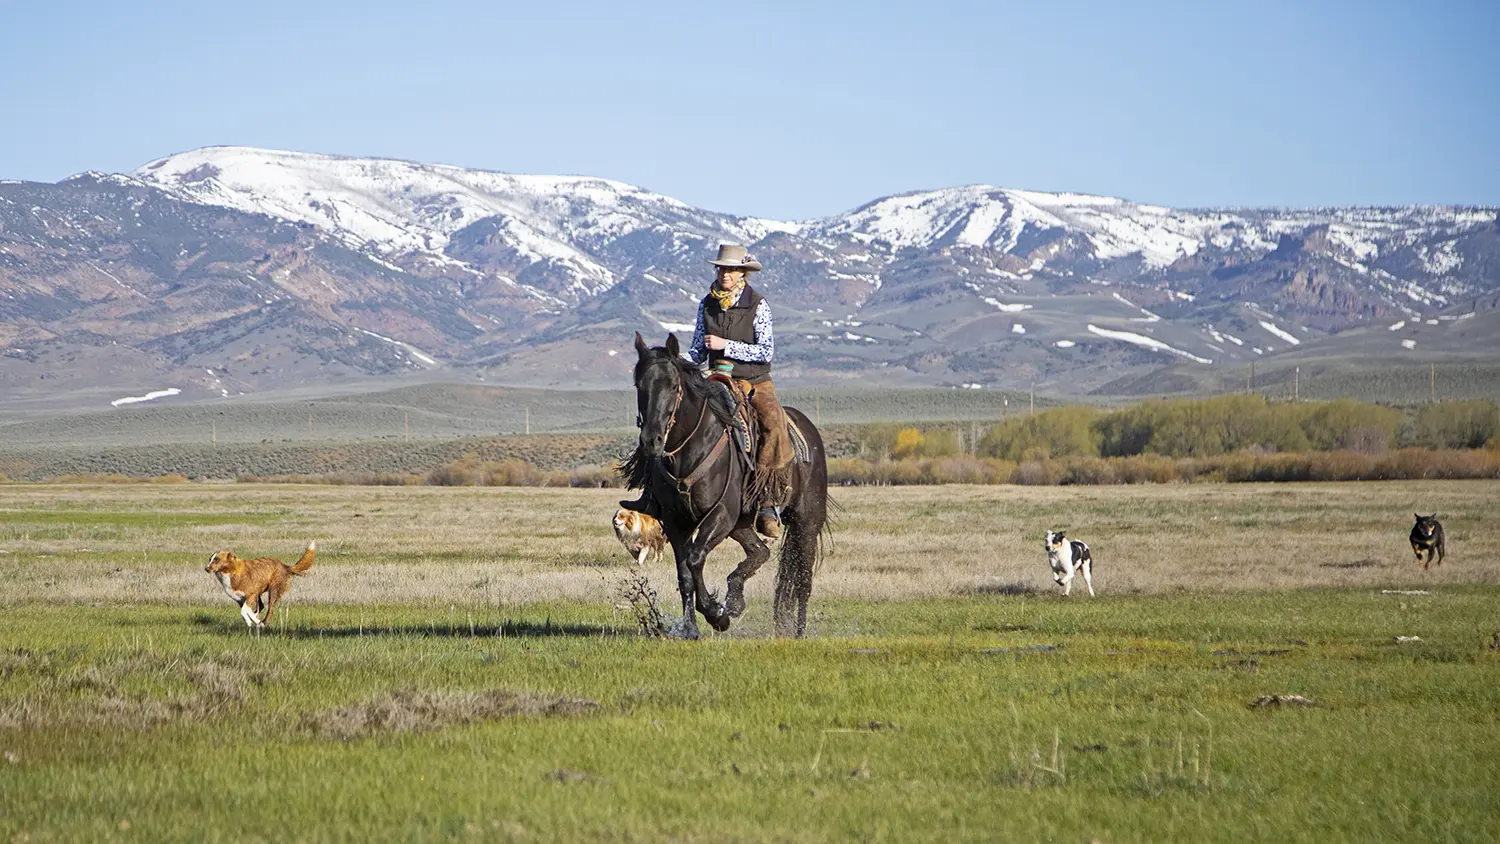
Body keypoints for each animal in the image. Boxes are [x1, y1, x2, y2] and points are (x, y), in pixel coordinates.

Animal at [621, 332, 829, 638]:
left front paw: (715, 614)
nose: (652, 440)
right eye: (640, 384)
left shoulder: (720, 514)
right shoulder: (676, 521)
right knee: (760, 551)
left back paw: (799, 632)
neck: (690, 451)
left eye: (673, 385)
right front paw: (692, 628)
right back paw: (736, 599)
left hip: (805, 522)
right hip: (741, 524)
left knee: (803, 579)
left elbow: (696, 558)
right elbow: (685, 575)